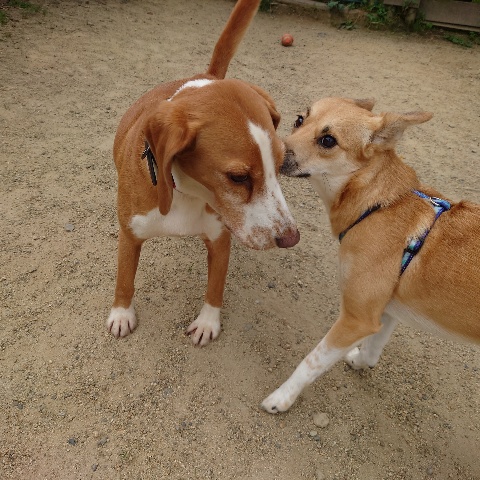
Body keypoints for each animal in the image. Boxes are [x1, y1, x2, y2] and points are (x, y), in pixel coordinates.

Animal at [107, 0, 299, 346]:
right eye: (238, 177)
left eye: (280, 165)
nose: (291, 239)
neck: (185, 192)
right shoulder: (130, 234)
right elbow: (125, 276)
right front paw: (121, 313)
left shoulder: (220, 239)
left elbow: (215, 286)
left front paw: (208, 323)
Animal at [261, 97, 480, 413]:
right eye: (300, 120)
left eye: (328, 140)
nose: (272, 154)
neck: (377, 206)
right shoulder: (385, 311)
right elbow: (372, 350)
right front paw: (358, 361)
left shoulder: (357, 318)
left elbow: (312, 361)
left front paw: (282, 397)